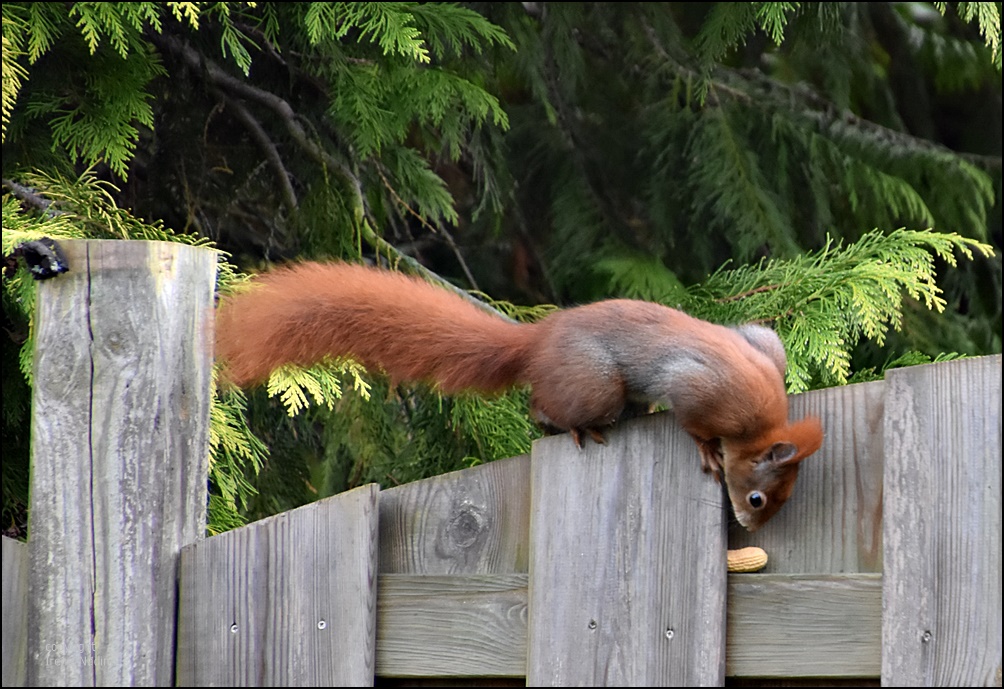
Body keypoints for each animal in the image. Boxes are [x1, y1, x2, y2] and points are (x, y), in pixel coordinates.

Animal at [217, 261, 823, 530]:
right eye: (757, 499)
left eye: (784, 497)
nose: (748, 528)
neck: (759, 422)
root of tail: (538, 340)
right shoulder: (699, 386)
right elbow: (694, 421)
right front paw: (707, 451)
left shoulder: (763, 343)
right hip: (595, 385)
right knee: (545, 406)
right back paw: (571, 425)